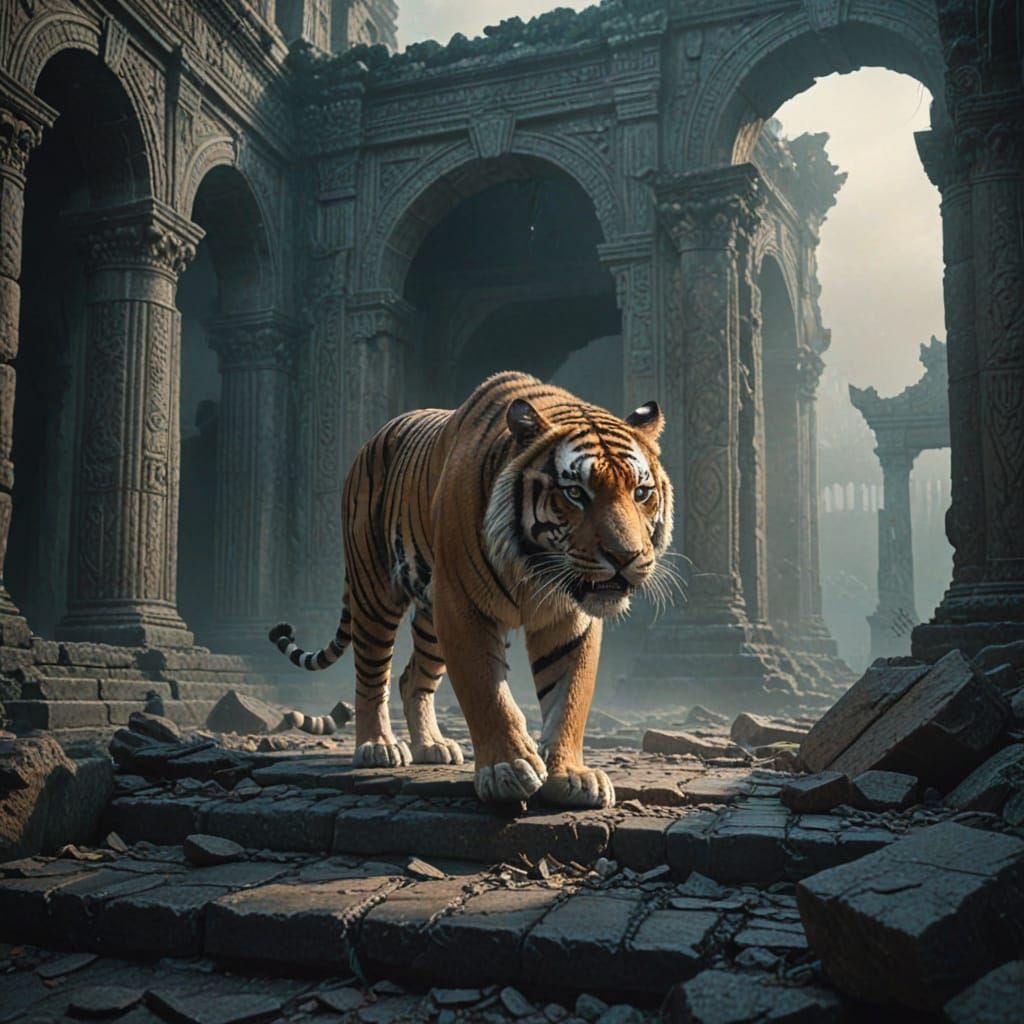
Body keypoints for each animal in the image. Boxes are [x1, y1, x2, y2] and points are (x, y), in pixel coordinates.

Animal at [268, 371, 674, 808]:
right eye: (576, 493)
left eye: (641, 493)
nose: (625, 557)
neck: (535, 567)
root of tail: (371, 440)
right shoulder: (464, 607)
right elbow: (487, 693)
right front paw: (508, 769)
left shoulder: (568, 615)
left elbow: (569, 697)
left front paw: (571, 775)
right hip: (375, 592)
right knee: (373, 675)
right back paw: (378, 747)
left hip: (431, 620)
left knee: (412, 679)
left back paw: (432, 746)